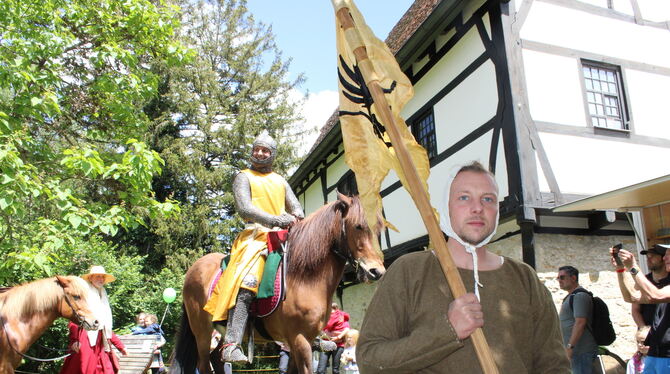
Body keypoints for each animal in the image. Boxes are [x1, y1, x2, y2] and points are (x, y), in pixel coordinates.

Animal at [171, 194, 386, 374]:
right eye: (358, 226)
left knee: (217, 358)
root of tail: (193, 269)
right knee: (204, 363)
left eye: (379, 228)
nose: (377, 271)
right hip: (202, 332)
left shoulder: (299, 342)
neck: (304, 278)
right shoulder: (300, 340)